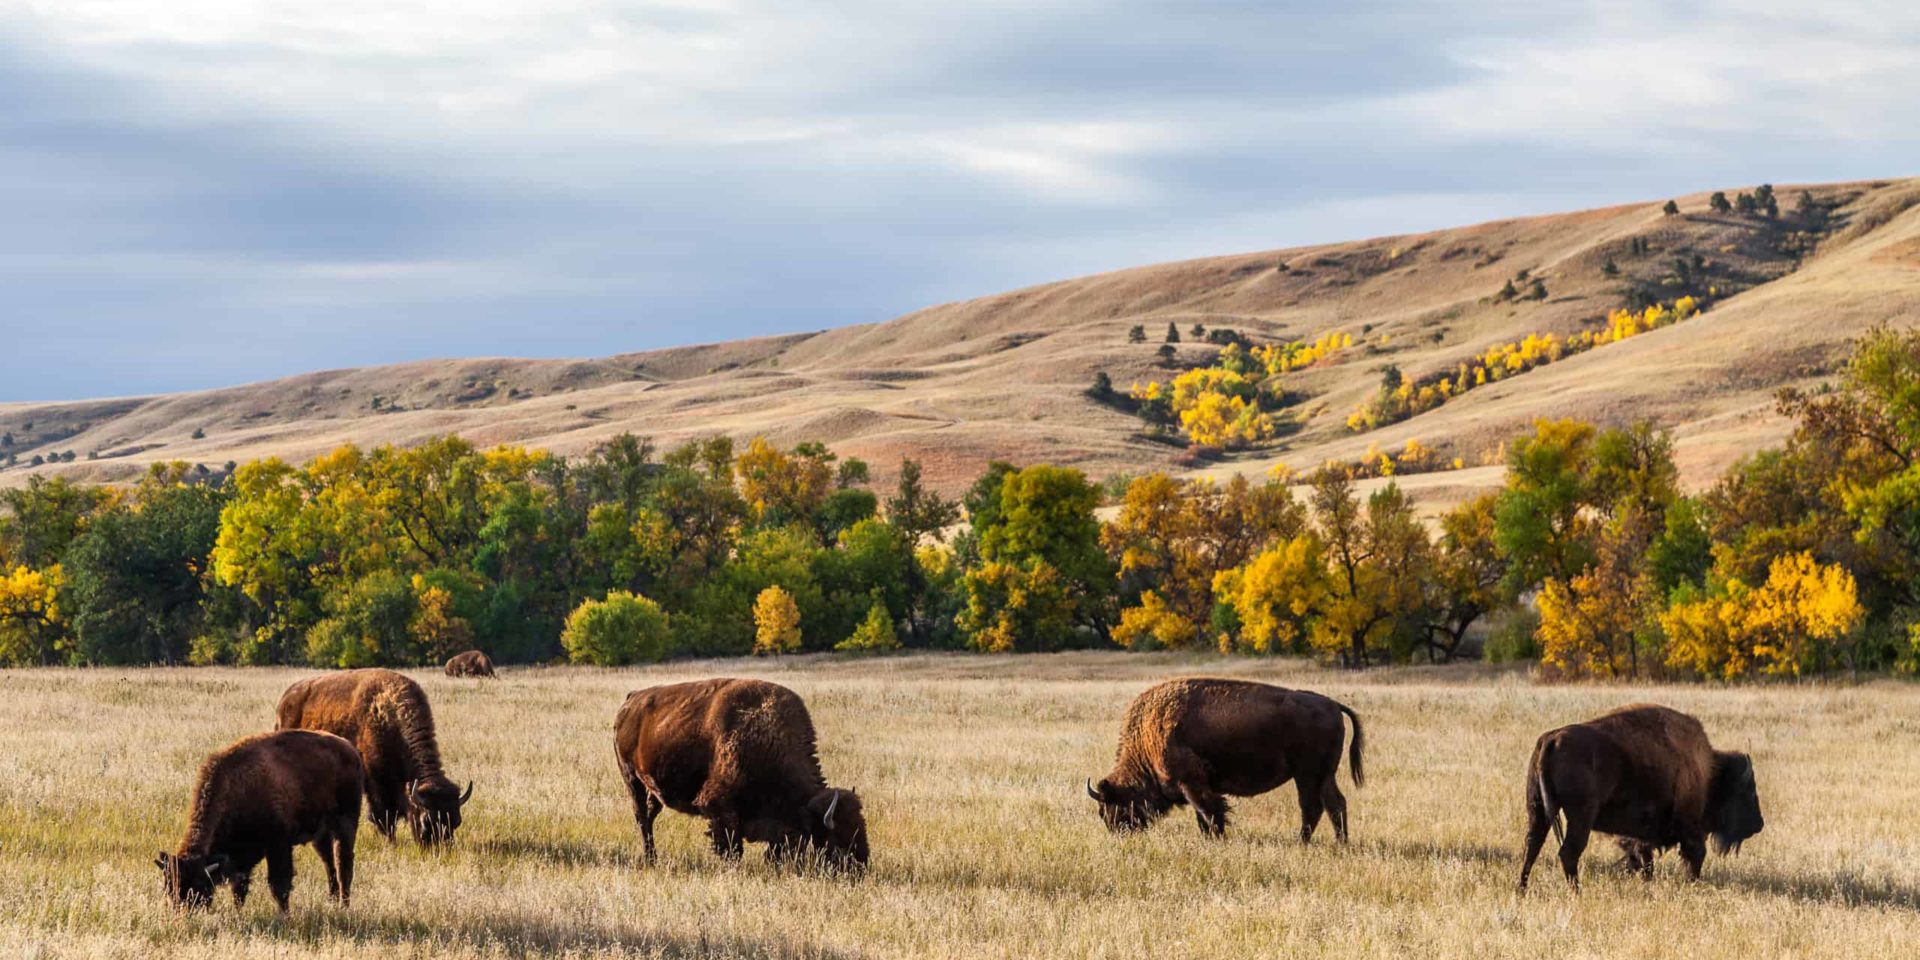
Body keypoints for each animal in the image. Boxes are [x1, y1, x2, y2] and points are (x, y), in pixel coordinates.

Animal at [154, 729, 362, 910]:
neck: (237, 786)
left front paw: (284, 916)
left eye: (198, 884)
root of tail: (350, 749)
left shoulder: (278, 845)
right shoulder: (242, 856)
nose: (180, 913)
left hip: (346, 824)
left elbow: (279, 885)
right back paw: (333, 901)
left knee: (343, 863)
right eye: (168, 887)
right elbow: (239, 888)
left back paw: (344, 906)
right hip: (320, 834)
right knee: (329, 863)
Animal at [278, 668, 472, 848]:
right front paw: (391, 843)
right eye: (426, 821)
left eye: (456, 821)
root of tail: (286, 699)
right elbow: (384, 816)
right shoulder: (376, 782)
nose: (442, 851)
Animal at [614, 675, 871, 871]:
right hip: (631, 778)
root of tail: (631, 701)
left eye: (861, 827)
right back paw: (650, 859)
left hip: (652, 785)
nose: (861, 868)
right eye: (837, 842)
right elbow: (732, 847)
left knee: (650, 814)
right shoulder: (719, 808)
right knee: (641, 817)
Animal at [1082, 675, 1367, 840]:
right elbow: (1204, 816)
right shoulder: (1198, 786)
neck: (1147, 736)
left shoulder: (1192, 783)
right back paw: (1339, 843)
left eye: (1112, 805)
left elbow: (1209, 812)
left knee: (1313, 806)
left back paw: (1303, 842)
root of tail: (1333, 704)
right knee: (1335, 804)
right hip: (1323, 775)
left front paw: (1217, 838)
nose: (1119, 833)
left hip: (1307, 774)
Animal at [1512, 702, 1766, 887]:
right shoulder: (1690, 827)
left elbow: (1642, 857)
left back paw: (1522, 889)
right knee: (1568, 852)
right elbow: (1694, 855)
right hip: (1580, 817)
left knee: (1532, 846)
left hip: (1537, 810)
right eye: (1748, 792)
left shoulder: (1641, 836)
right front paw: (1691, 882)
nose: (1759, 824)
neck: (1708, 771)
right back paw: (1576, 892)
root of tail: (1551, 738)